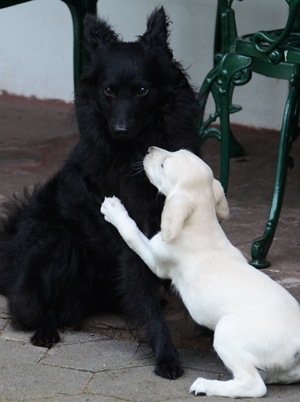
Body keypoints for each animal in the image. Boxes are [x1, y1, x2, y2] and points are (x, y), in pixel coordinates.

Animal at [0, 7, 198, 380]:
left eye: (142, 90)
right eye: (109, 90)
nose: (119, 130)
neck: (137, 150)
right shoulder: (130, 233)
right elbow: (146, 297)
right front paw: (166, 354)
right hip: (58, 240)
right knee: (35, 308)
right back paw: (45, 329)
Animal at [100, 146, 300, 398]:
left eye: (164, 165)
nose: (149, 149)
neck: (201, 222)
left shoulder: (157, 260)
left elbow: (132, 233)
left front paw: (115, 211)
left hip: (226, 332)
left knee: (254, 386)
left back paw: (206, 385)